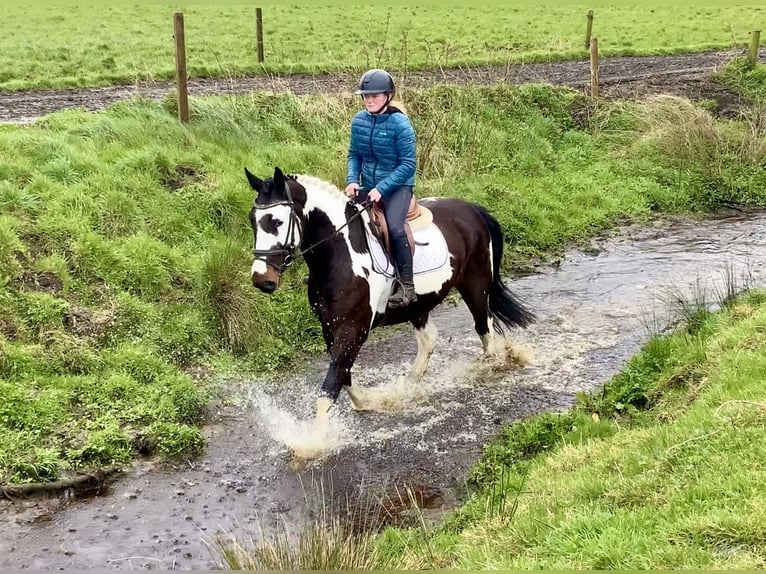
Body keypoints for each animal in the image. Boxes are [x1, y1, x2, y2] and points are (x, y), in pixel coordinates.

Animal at [245, 166, 535, 419]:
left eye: (277, 221)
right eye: (252, 220)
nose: (262, 279)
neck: (340, 256)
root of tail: (472, 208)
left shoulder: (353, 328)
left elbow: (332, 382)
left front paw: (313, 440)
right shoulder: (329, 326)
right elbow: (343, 375)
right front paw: (368, 401)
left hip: (475, 286)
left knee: (484, 329)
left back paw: (488, 367)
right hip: (417, 306)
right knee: (430, 340)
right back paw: (406, 388)